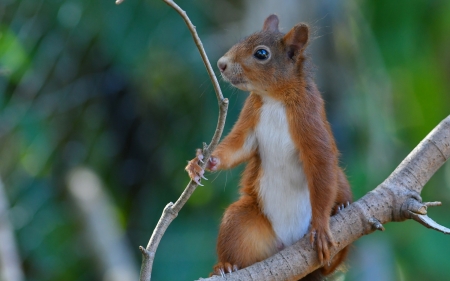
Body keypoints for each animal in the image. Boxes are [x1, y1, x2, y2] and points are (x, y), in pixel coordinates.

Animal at [185, 14, 354, 278]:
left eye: (261, 54)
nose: (221, 64)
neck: (274, 98)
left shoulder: (311, 119)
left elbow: (322, 161)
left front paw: (321, 226)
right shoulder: (250, 117)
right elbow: (236, 147)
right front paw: (201, 161)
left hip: (340, 193)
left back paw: (340, 208)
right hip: (241, 221)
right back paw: (226, 266)